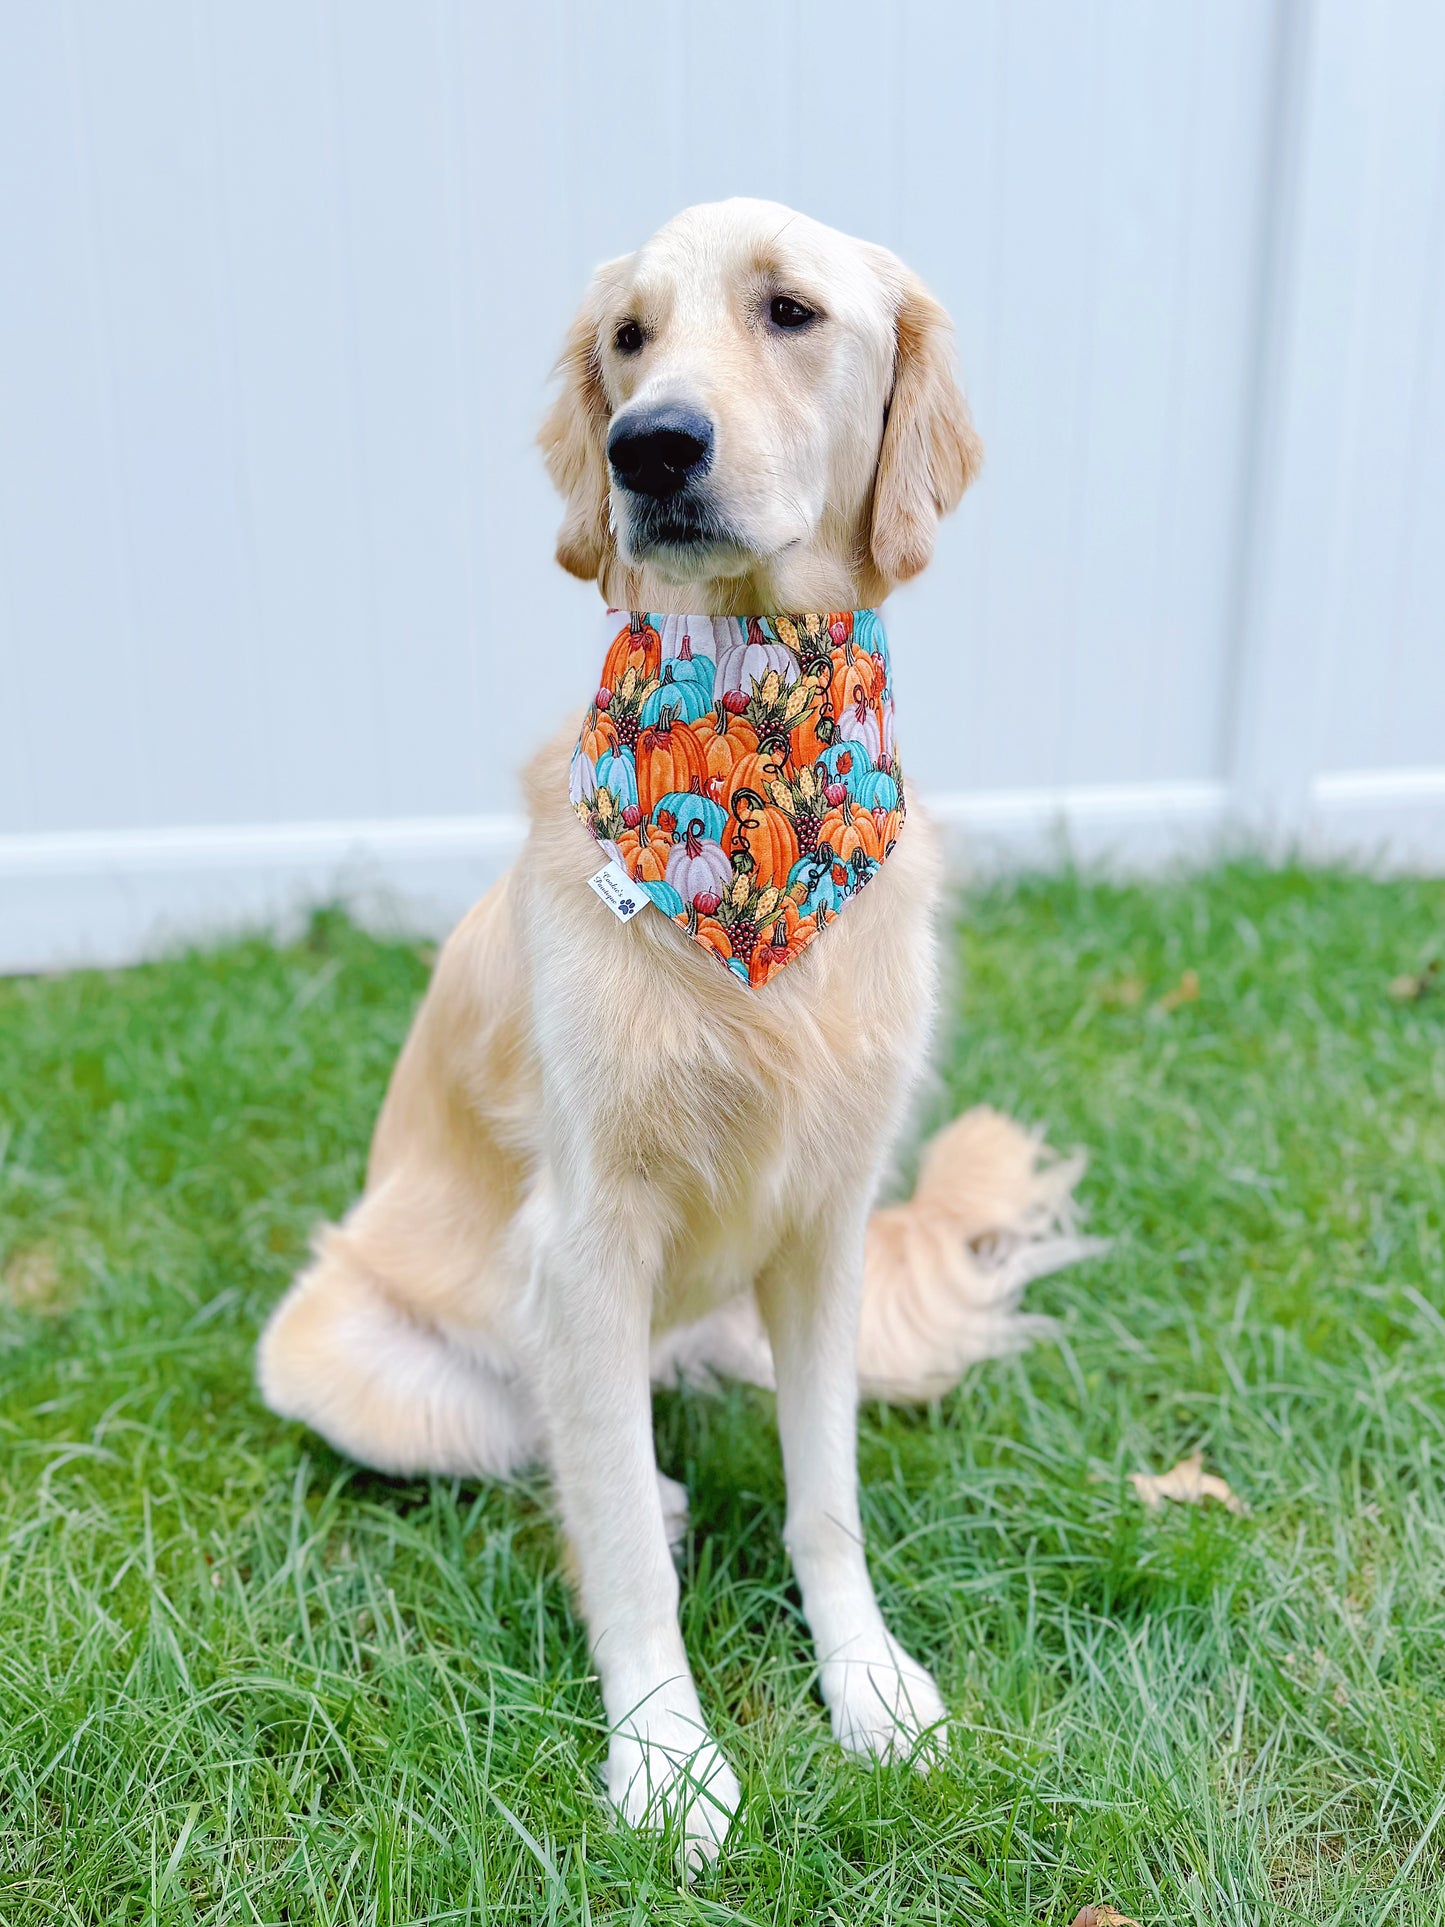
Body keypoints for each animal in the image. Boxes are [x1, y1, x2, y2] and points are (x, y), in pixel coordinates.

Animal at [254, 199, 1094, 1865]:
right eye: (626, 341)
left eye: (790, 311)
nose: (647, 445)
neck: (758, 724)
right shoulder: (582, 1240)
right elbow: (628, 1562)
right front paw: (662, 1752)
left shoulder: (826, 1221)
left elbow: (826, 1495)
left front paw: (867, 1684)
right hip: (347, 1360)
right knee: (554, 1451)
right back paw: (642, 1493)